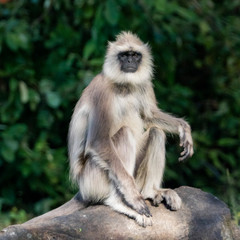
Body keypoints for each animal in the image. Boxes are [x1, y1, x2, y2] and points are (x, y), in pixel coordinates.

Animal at [67, 31, 193, 227]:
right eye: (124, 55)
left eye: (135, 55)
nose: (129, 61)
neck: (123, 86)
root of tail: (81, 189)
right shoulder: (101, 92)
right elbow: (98, 141)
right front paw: (133, 199)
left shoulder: (145, 84)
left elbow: (149, 116)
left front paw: (184, 128)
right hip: (92, 181)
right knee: (125, 134)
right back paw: (120, 202)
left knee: (156, 132)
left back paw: (151, 191)